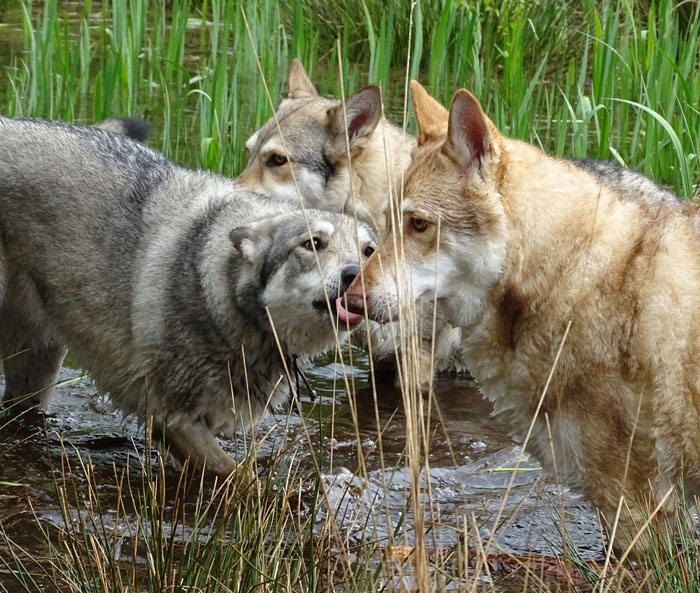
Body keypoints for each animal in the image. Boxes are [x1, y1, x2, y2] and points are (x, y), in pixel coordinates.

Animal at [0, 117, 376, 476]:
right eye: (313, 243)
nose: (355, 276)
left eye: (369, 251)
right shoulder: (175, 420)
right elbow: (240, 478)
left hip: (36, 374)